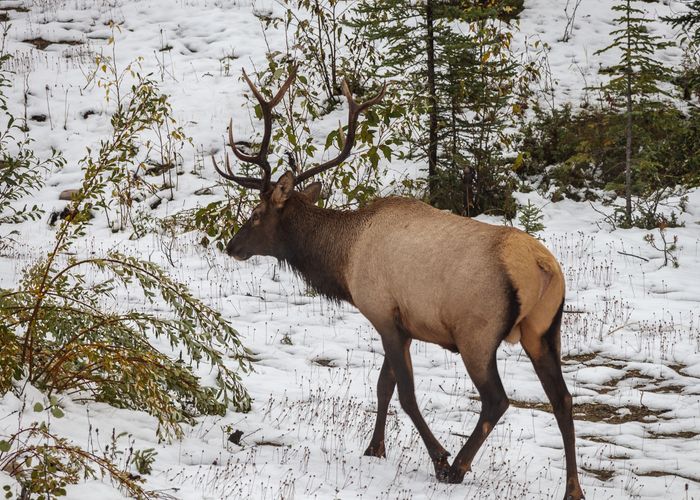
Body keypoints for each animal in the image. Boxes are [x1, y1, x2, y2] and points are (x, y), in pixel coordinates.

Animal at [213, 67, 584, 500]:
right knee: (563, 399)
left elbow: (404, 394)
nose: (231, 246)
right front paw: (374, 448)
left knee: (497, 400)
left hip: (477, 333)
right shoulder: (403, 324)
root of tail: (543, 268)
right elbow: (383, 386)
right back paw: (573, 488)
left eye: (256, 214)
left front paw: (437, 457)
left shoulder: (383, 314)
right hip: (544, 330)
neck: (343, 260)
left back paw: (457, 467)